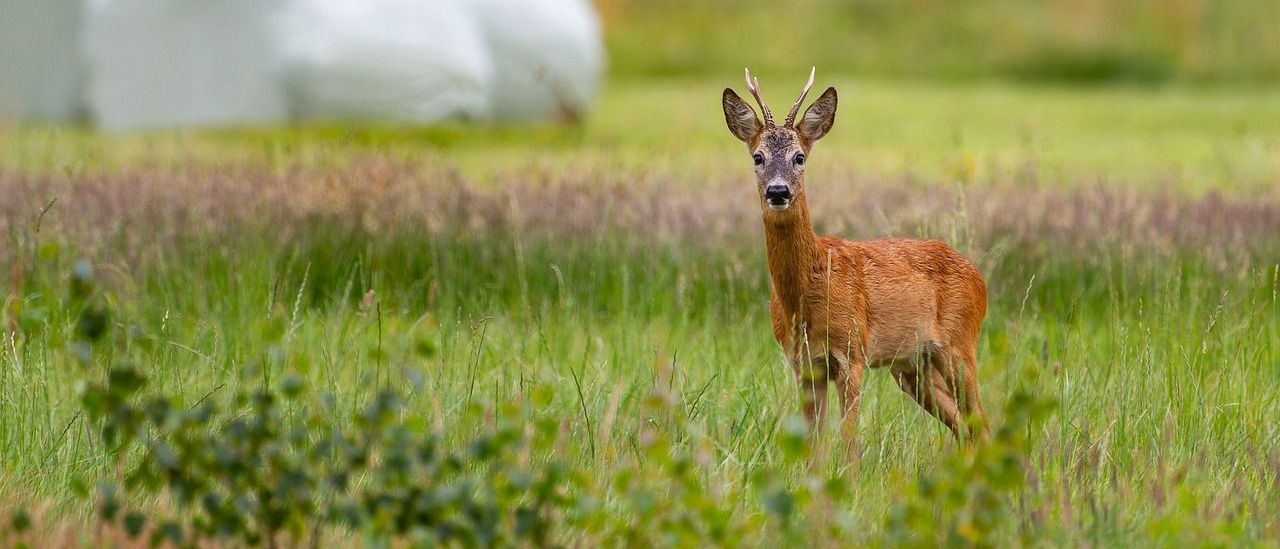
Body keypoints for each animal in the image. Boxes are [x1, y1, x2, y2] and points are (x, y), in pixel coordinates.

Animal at [722, 68, 990, 451]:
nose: (778, 191)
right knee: (964, 426)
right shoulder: (804, 363)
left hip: (960, 344)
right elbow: (813, 445)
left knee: (982, 421)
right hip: (913, 367)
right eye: (757, 157)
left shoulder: (853, 352)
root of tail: (978, 277)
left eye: (799, 157)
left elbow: (849, 441)